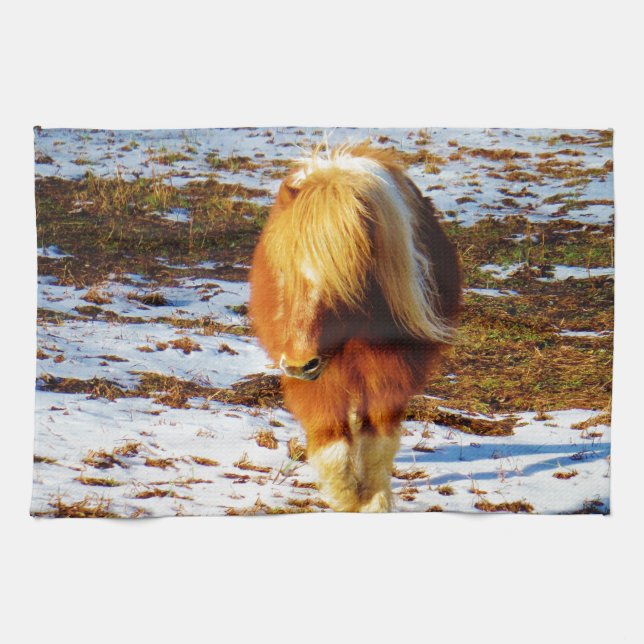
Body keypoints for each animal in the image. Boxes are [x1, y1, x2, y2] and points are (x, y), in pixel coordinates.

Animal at [249, 142, 462, 512]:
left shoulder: (391, 372)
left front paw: (373, 500)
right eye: (284, 272)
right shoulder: (317, 380)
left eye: (345, 279)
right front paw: (347, 498)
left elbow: (377, 442)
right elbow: (332, 444)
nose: (299, 364)